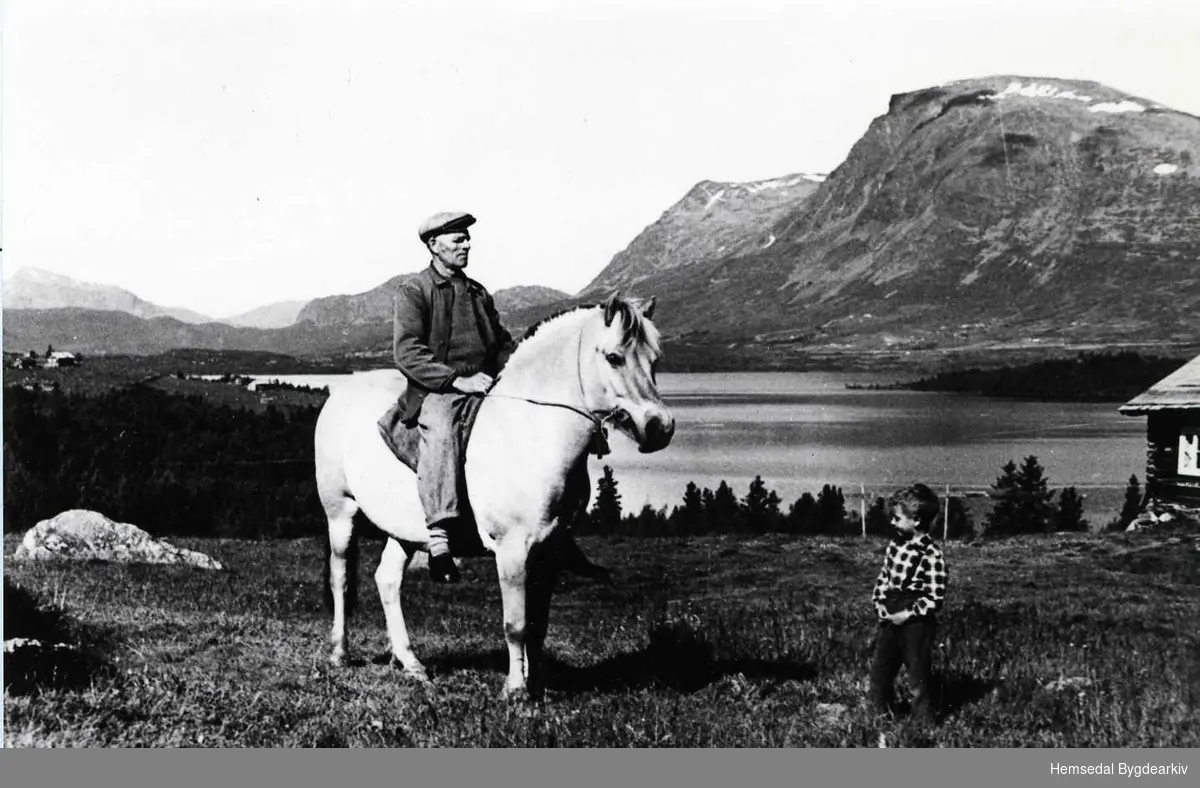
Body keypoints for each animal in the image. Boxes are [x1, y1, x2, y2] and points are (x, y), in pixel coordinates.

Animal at [314, 291, 676, 695]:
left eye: (655, 359)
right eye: (614, 357)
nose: (660, 427)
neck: (530, 431)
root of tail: (340, 393)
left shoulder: (549, 551)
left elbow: (537, 625)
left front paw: (539, 682)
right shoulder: (512, 549)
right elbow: (515, 624)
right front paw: (515, 689)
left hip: (405, 531)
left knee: (388, 581)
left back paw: (409, 662)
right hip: (340, 514)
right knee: (341, 578)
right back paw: (340, 653)